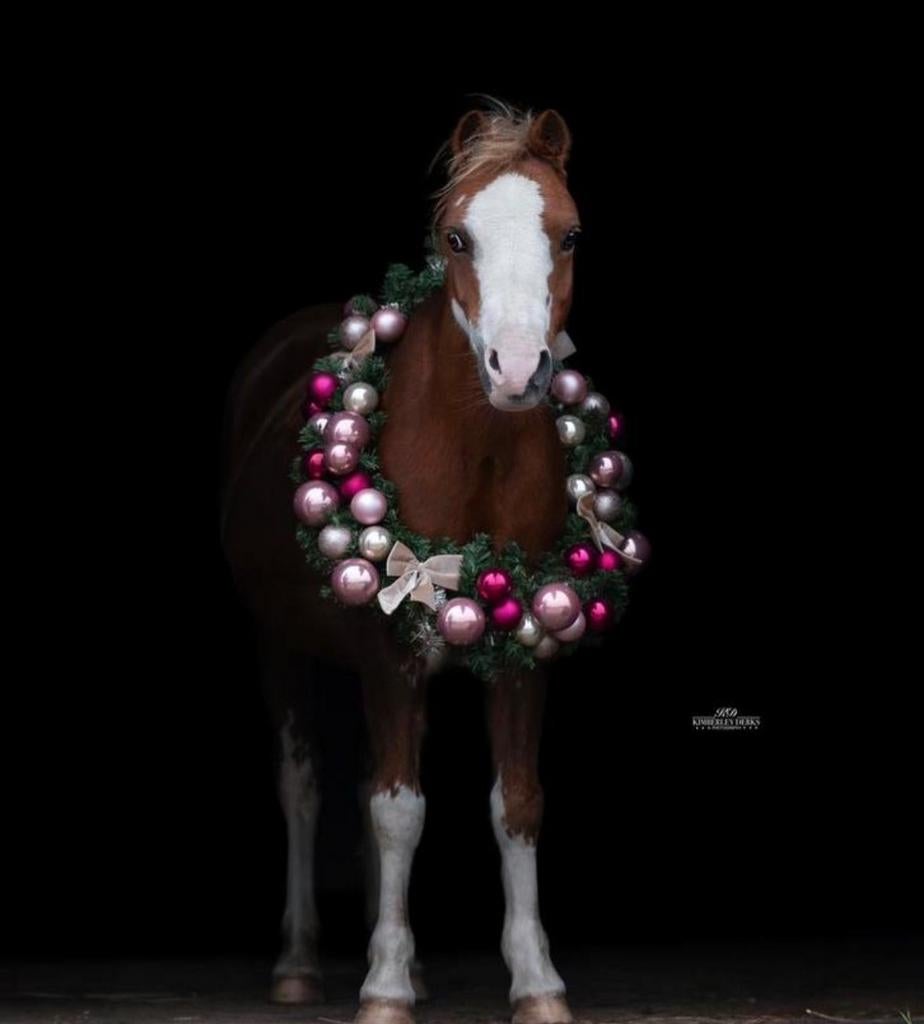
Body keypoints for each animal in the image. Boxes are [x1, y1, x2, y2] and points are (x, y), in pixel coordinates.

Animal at [222, 105, 582, 1024]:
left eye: (569, 234)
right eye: (456, 236)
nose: (519, 370)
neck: (471, 459)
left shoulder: (526, 647)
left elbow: (517, 804)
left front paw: (536, 979)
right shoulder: (388, 653)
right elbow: (397, 811)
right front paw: (382, 986)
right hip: (280, 644)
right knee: (305, 787)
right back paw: (300, 962)